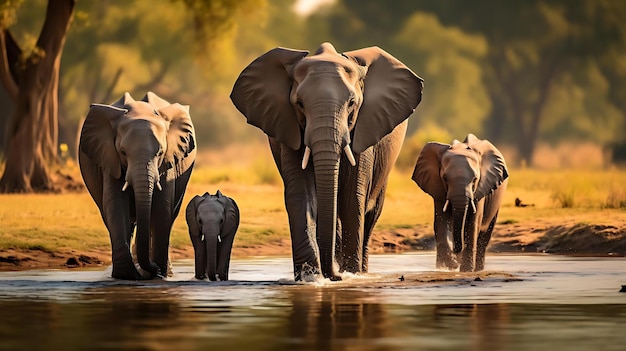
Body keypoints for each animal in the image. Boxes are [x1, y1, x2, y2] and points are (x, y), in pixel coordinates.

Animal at [78, 92, 195, 282]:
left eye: (160, 153)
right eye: (123, 152)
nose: (153, 269)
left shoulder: (169, 161)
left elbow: (161, 209)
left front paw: (158, 275)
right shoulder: (109, 158)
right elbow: (116, 205)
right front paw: (126, 276)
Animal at [230, 42, 424, 282]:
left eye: (352, 103)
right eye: (299, 103)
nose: (334, 275)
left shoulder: (364, 129)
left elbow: (352, 197)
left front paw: (349, 275)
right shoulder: (289, 127)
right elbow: (301, 194)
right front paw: (310, 278)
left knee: (370, 214)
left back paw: (361, 271)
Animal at [410, 134, 508, 272]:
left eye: (475, 179)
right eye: (445, 178)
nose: (456, 252)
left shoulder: (481, 188)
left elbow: (473, 223)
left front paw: (465, 270)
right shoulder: (437, 186)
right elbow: (441, 220)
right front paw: (446, 267)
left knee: (486, 233)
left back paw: (478, 270)